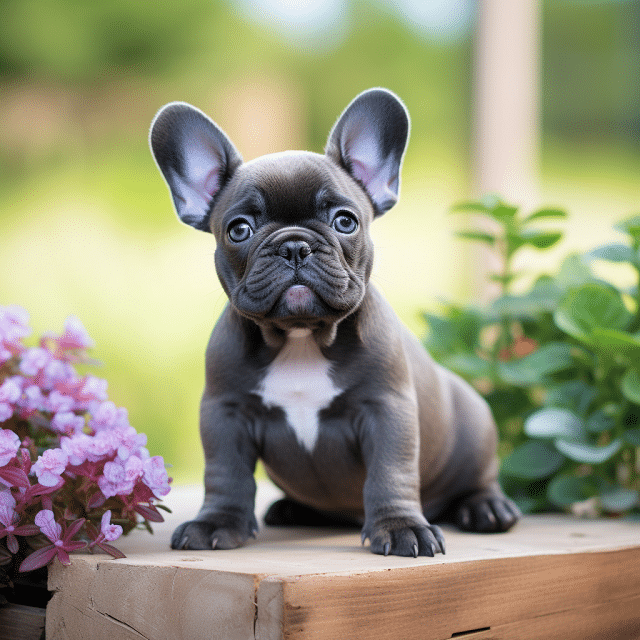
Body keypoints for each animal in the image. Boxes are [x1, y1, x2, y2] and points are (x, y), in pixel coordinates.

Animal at [150, 87, 520, 556]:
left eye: (345, 221)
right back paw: (291, 509)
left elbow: (391, 472)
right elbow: (225, 474)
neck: (301, 338)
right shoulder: (225, 412)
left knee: (480, 476)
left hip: (474, 423)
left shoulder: (386, 409)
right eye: (239, 230)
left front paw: (401, 528)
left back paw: (486, 507)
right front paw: (216, 523)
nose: (294, 245)